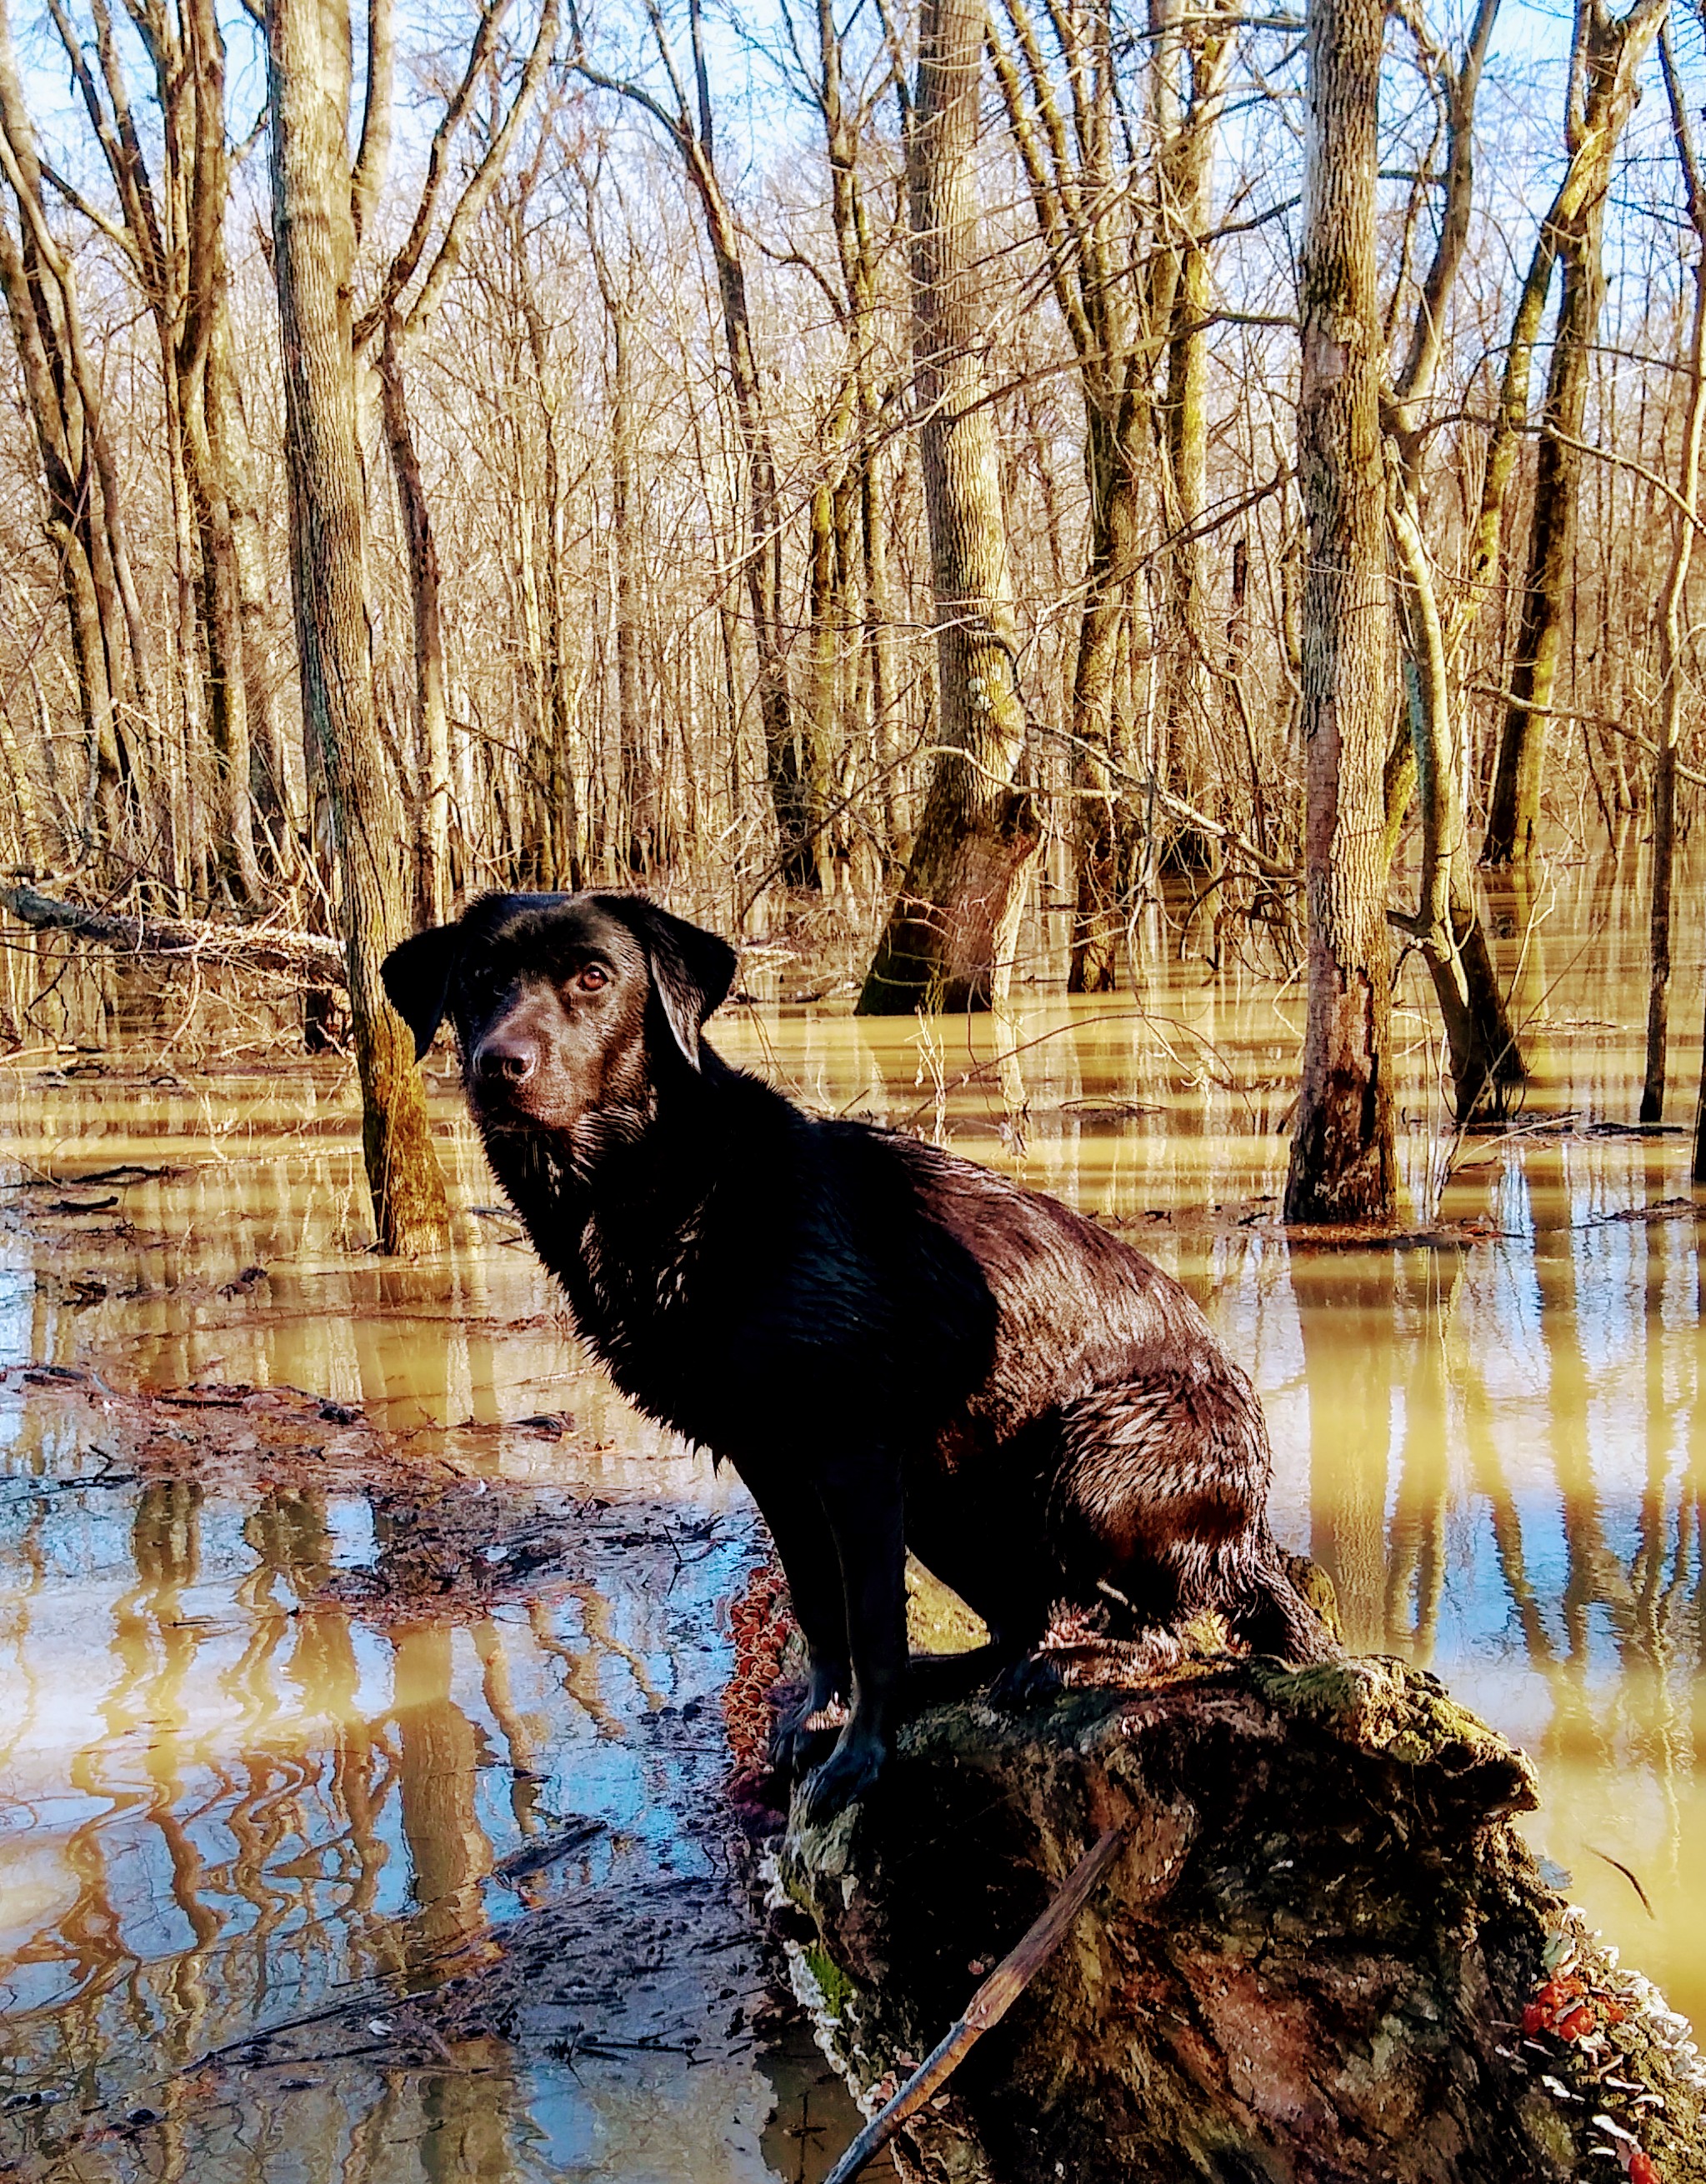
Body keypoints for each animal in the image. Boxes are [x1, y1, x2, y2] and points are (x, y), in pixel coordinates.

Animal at [382, 895, 1328, 1817]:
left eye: (591, 976)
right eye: (479, 978)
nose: (499, 1065)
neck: (668, 1188)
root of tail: (1249, 1532)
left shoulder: (854, 1453)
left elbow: (872, 1622)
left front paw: (859, 1757)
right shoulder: (769, 1461)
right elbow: (818, 1609)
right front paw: (818, 1717)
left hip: (1092, 1460)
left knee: (1163, 1623)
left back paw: (1068, 1665)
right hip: (951, 1500)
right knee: (1029, 1616)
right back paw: (962, 1671)